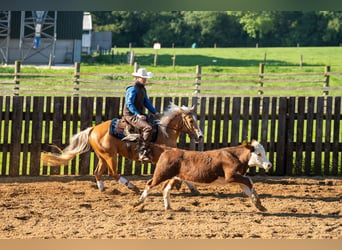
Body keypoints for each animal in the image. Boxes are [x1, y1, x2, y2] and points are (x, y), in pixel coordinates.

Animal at [41, 102, 204, 192]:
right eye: (191, 120)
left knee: (98, 172)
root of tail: (93, 129)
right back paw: (132, 187)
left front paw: (192, 188)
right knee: (113, 173)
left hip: (103, 156)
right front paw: (189, 187)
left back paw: (103, 190)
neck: (165, 132)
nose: (200, 136)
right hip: (110, 156)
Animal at [134, 140, 272, 212]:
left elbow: (248, 188)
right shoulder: (231, 176)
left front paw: (259, 205)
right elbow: (250, 181)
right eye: (259, 154)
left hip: (174, 177)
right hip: (161, 174)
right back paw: (138, 203)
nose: (269, 165)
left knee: (165, 189)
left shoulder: (238, 179)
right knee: (149, 184)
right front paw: (258, 203)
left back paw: (168, 207)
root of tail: (168, 150)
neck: (235, 156)